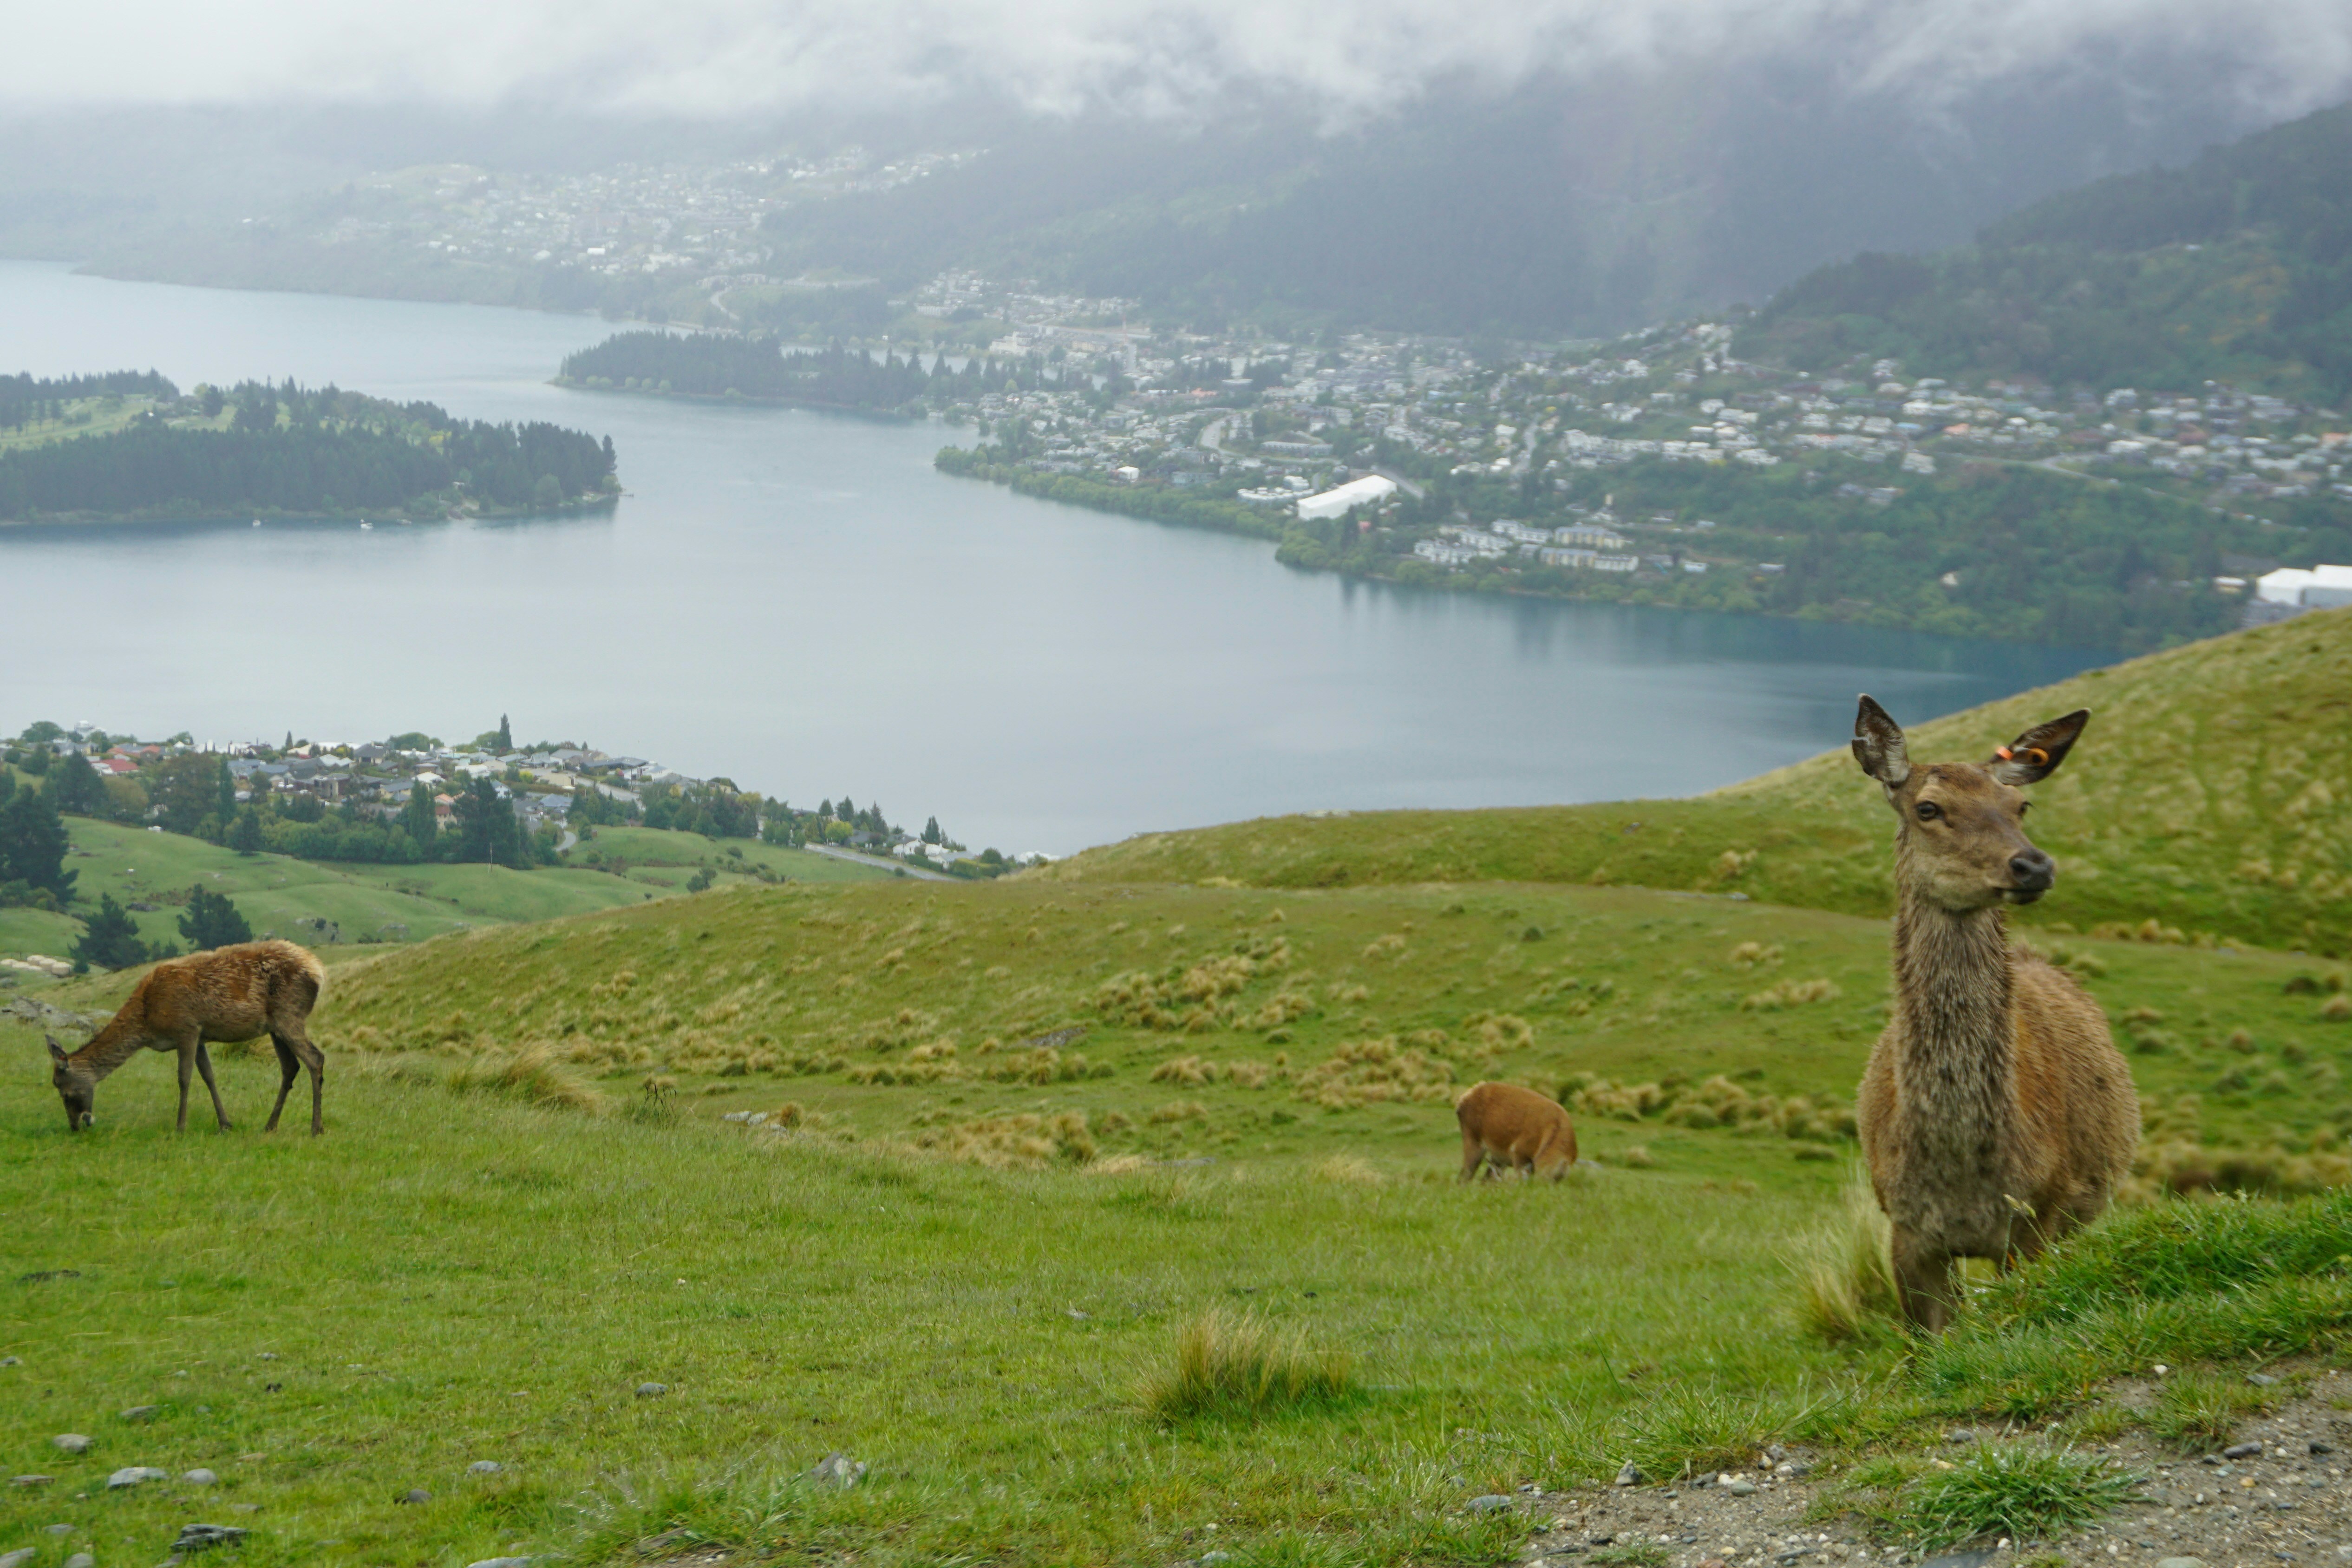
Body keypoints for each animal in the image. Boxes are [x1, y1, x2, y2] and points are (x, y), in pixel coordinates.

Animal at [46, 939, 328, 1135]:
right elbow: (209, 1076)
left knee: (315, 1058)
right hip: (275, 1027)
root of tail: (319, 972)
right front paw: (225, 1124)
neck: (148, 1020)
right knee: (290, 1067)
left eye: (65, 1092)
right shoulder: (201, 1035)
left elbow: (184, 1078)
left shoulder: (187, 1028)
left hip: (289, 1014)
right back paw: (270, 1125)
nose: (76, 1126)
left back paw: (316, 1128)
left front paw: (180, 1126)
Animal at [1456, 1081, 1579, 1180]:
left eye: (1557, 1180)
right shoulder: (1518, 1151)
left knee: (1487, 1179)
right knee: (1464, 1176)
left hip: (1498, 1156)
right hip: (1472, 1139)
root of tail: (1462, 1100)